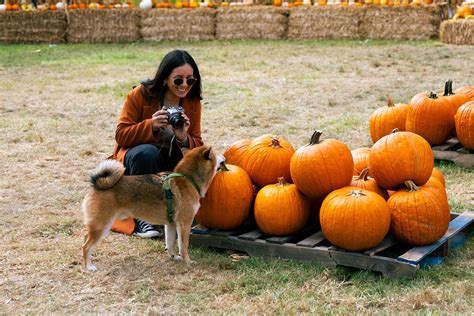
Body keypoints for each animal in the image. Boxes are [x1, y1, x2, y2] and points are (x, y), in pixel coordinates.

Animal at [82, 146, 222, 272]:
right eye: (216, 153)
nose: (223, 157)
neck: (188, 179)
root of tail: (97, 186)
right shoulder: (184, 224)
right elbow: (183, 246)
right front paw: (187, 261)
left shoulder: (171, 224)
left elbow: (170, 243)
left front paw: (174, 257)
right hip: (102, 226)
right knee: (86, 246)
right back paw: (89, 267)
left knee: (85, 241)